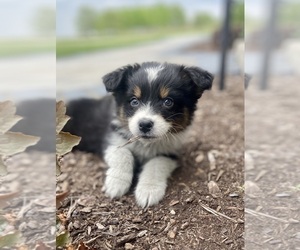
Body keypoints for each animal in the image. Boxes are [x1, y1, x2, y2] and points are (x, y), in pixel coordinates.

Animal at [65, 62, 213, 207]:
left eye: (168, 102)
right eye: (134, 101)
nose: (145, 124)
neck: (145, 144)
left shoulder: (170, 152)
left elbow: (156, 164)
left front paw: (148, 190)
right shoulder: (113, 139)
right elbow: (123, 154)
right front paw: (116, 183)